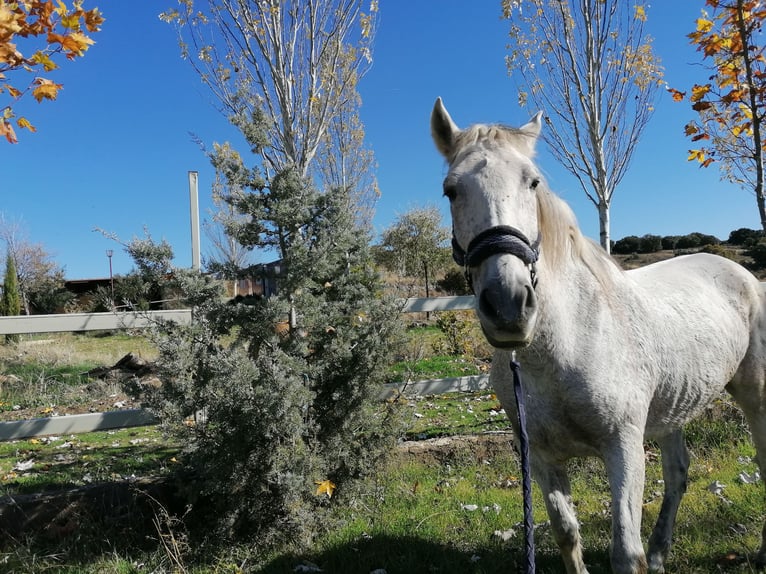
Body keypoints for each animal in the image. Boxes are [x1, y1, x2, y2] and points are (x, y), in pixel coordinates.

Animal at [432, 97, 766, 572]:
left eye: (532, 182)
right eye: (451, 190)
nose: (509, 305)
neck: (567, 345)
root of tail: (741, 273)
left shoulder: (623, 448)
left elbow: (626, 552)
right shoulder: (541, 456)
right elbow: (566, 533)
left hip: (752, 393)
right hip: (673, 408)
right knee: (678, 474)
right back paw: (661, 553)